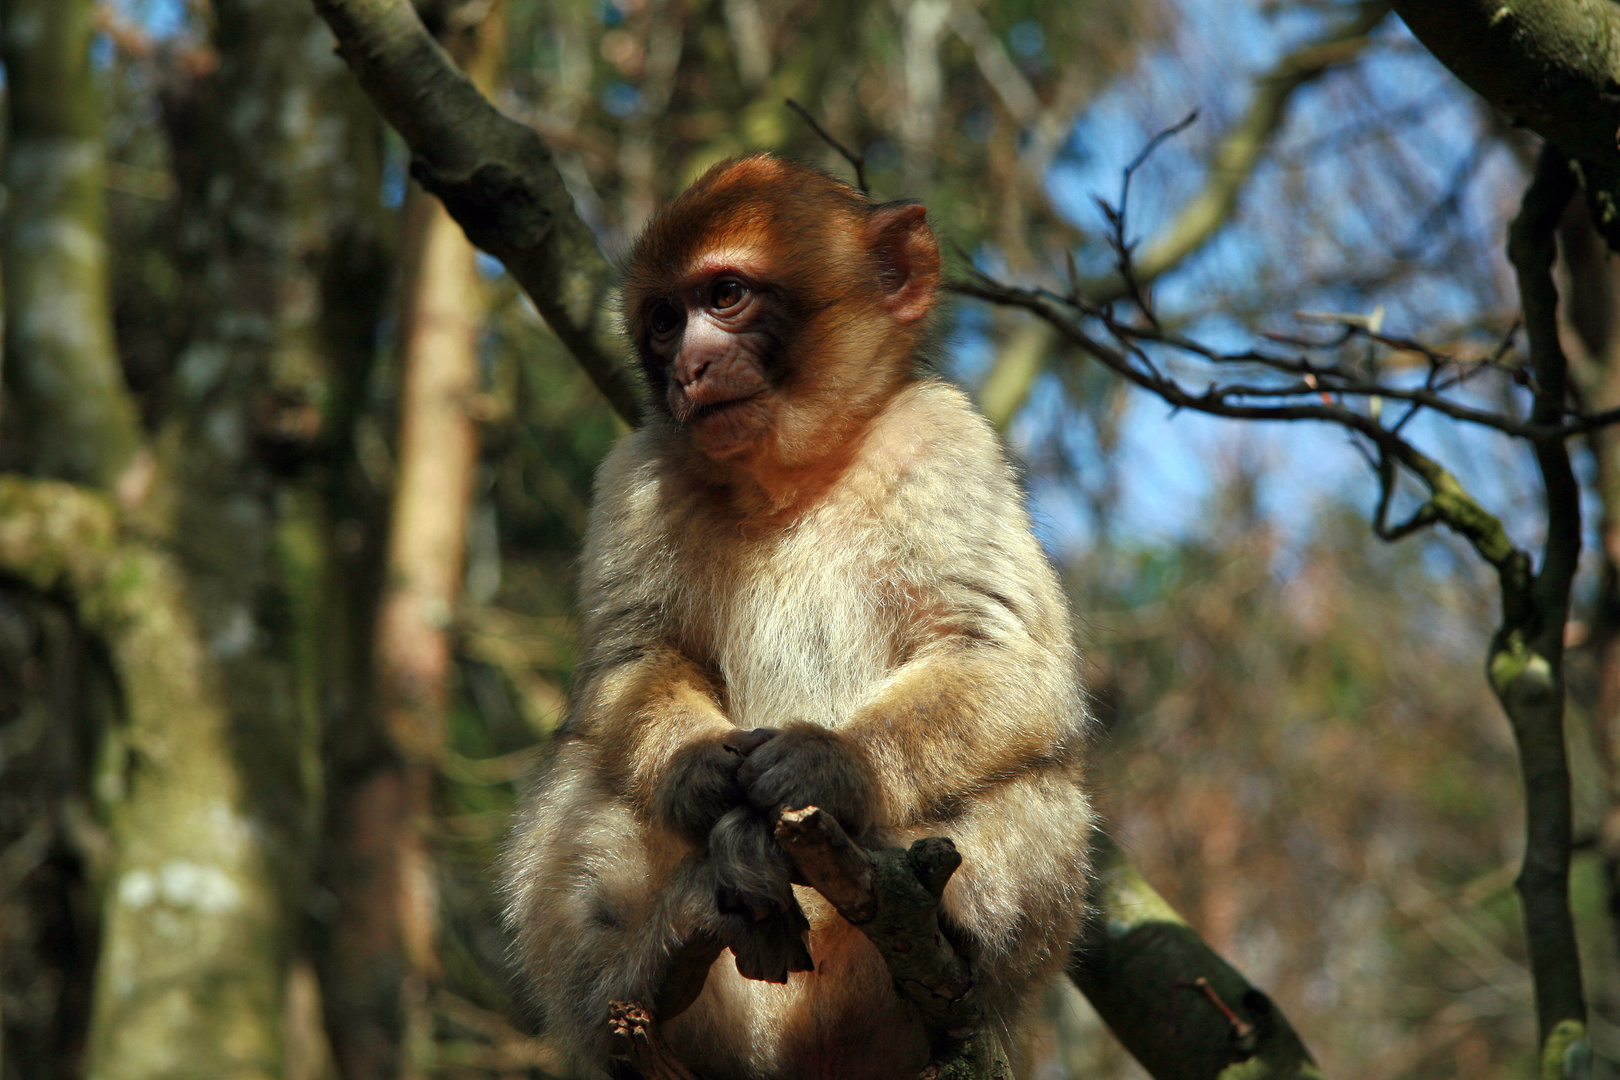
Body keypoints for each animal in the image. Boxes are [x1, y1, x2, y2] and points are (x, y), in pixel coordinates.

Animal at [498, 153, 1095, 1080]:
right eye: (664, 320)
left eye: (726, 296)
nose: (689, 367)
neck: (792, 476)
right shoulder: (633, 473)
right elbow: (631, 660)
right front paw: (703, 772)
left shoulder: (947, 439)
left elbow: (1004, 655)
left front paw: (827, 766)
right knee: (585, 763)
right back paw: (661, 954)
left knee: (1038, 769)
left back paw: (954, 937)